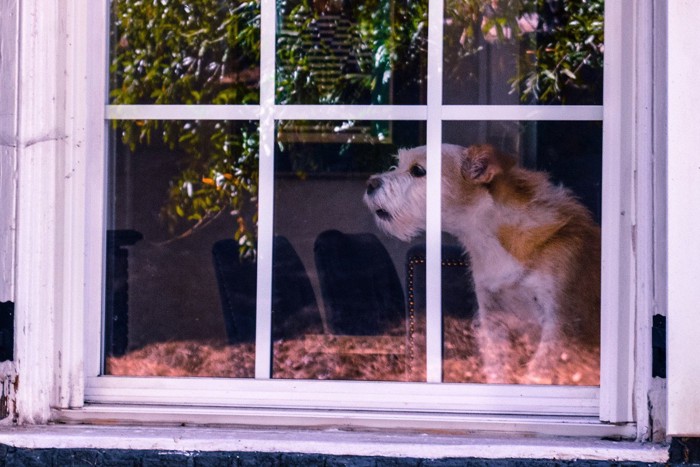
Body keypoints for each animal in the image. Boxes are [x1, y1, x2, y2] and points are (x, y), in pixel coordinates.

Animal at [364, 144, 600, 386]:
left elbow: (538, 371)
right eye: (399, 163)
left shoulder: (561, 322)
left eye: (418, 170)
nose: (370, 183)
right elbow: (499, 370)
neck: (488, 238)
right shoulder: (493, 321)